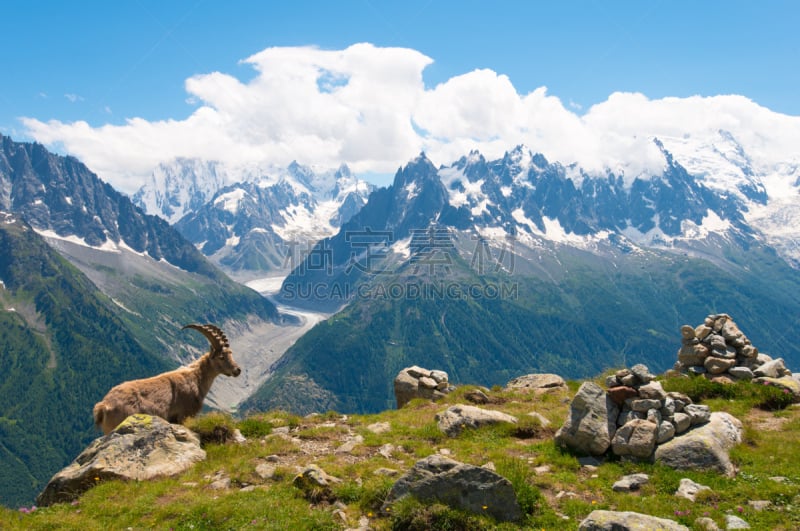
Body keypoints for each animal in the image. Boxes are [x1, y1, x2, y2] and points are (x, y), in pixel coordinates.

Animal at [92, 324, 239, 436]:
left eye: (231, 353)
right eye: (221, 357)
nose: (237, 370)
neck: (196, 377)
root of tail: (103, 406)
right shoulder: (184, 414)